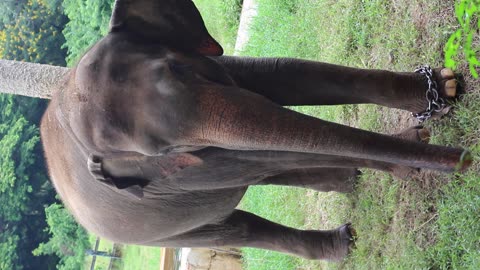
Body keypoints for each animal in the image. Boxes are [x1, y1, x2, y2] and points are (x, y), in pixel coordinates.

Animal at [38, 0, 472, 262]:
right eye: (161, 151)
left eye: (177, 68)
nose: (465, 158)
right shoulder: (181, 171)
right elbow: (269, 147)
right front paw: (420, 159)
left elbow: (284, 74)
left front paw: (443, 89)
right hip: (155, 235)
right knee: (237, 226)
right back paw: (345, 242)